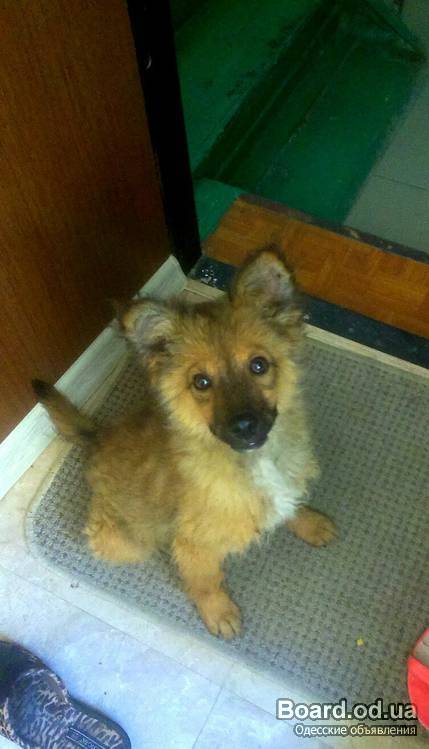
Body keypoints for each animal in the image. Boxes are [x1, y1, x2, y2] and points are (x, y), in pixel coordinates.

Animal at [33, 248, 336, 639]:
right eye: (201, 382)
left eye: (259, 365)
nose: (244, 425)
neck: (254, 461)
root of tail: (100, 436)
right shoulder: (196, 543)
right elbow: (205, 579)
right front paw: (218, 612)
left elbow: (290, 506)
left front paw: (309, 522)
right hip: (124, 541)